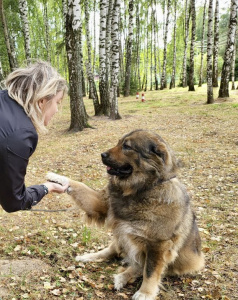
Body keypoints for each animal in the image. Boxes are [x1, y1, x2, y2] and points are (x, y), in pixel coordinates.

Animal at [47, 129, 205, 300]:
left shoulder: (158, 245)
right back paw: (90, 257)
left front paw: (145, 292)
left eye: (127, 146)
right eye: (118, 143)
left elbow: (150, 271)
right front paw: (57, 178)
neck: (139, 190)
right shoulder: (101, 204)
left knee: (140, 266)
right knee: (112, 251)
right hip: (120, 236)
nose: (102, 154)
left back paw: (123, 276)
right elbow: (79, 185)